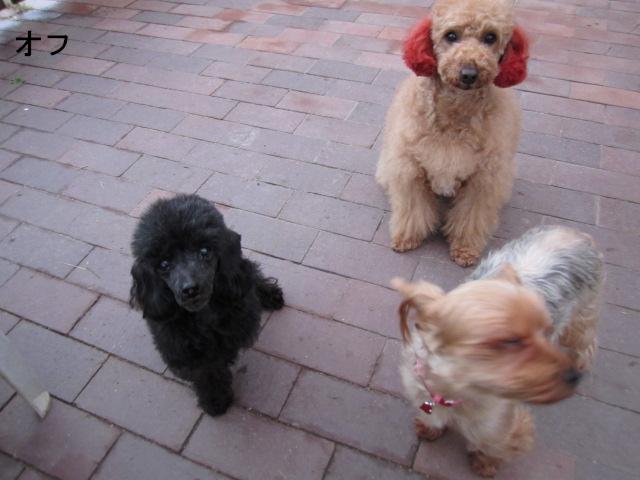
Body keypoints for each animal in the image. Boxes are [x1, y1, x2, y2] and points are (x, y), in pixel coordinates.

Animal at [130, 194, 284, 416]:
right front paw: (215, 399)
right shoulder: (183, 350)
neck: (205, 315)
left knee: (251, 273)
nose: (190, 289)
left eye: (204, 251)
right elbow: (207, 371)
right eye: (163, 265)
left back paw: (270, 294)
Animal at [376, 0, 529, 267]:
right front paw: (407, 237)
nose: (469, 73)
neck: (456, 110)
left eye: (490, 37)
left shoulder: (484, 178)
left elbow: (471, 216)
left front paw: (465, 248)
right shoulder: (411, 167)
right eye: (451, 36)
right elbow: (412, 209)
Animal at [392, 226, 603, 477]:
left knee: (586, 340)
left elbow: (495, 441)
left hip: (582, 315)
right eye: (511, 341)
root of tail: (575, 233)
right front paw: (430, 429)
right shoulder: (422, 391)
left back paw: (582, 361)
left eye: (545, 331)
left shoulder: (499, 419)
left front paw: (485, 463)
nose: (573, 377)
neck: (454, 389)